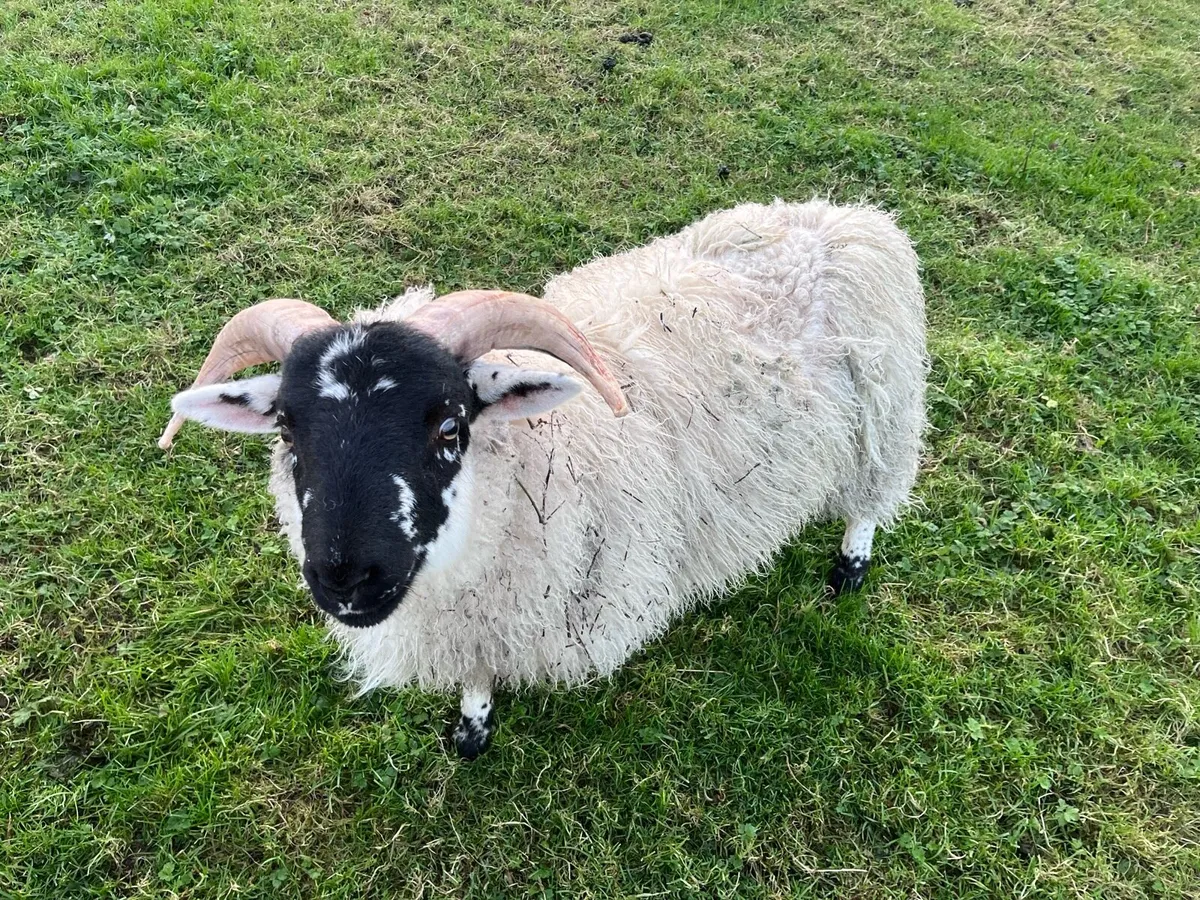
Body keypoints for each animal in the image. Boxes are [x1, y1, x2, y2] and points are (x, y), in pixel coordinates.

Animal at [159, 198, 927, 758]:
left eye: (450, 428)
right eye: (288, 432)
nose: (347, 577)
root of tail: (848, 216)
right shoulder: (481, 620)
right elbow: (476, 681)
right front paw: (471, 731)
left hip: (883, 421)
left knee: (869, 501)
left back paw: (849, 567)